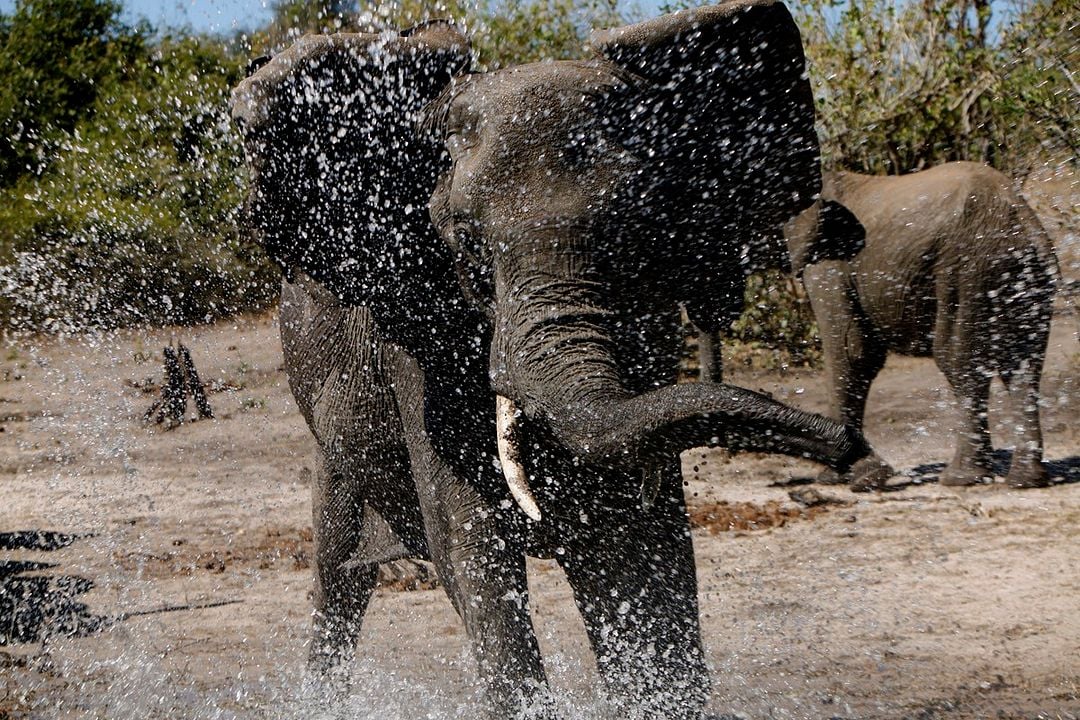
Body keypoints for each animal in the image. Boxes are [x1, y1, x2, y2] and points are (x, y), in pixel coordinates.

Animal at [227, 4, 885, 716]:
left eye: (642, 236)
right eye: (466, 244)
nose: (845, 444)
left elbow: (646, 552)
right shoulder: (420, 352)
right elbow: (472, 548)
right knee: (335, 578)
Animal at [781, 161, 1058, 490]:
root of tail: (1022, 216)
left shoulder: (829, 259)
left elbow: (851, 351)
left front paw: (833, 478)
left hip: (967, 270)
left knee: (959, 362)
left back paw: (959, 479)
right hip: (1027, 277)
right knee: (1024, 366)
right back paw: (1024, 481)